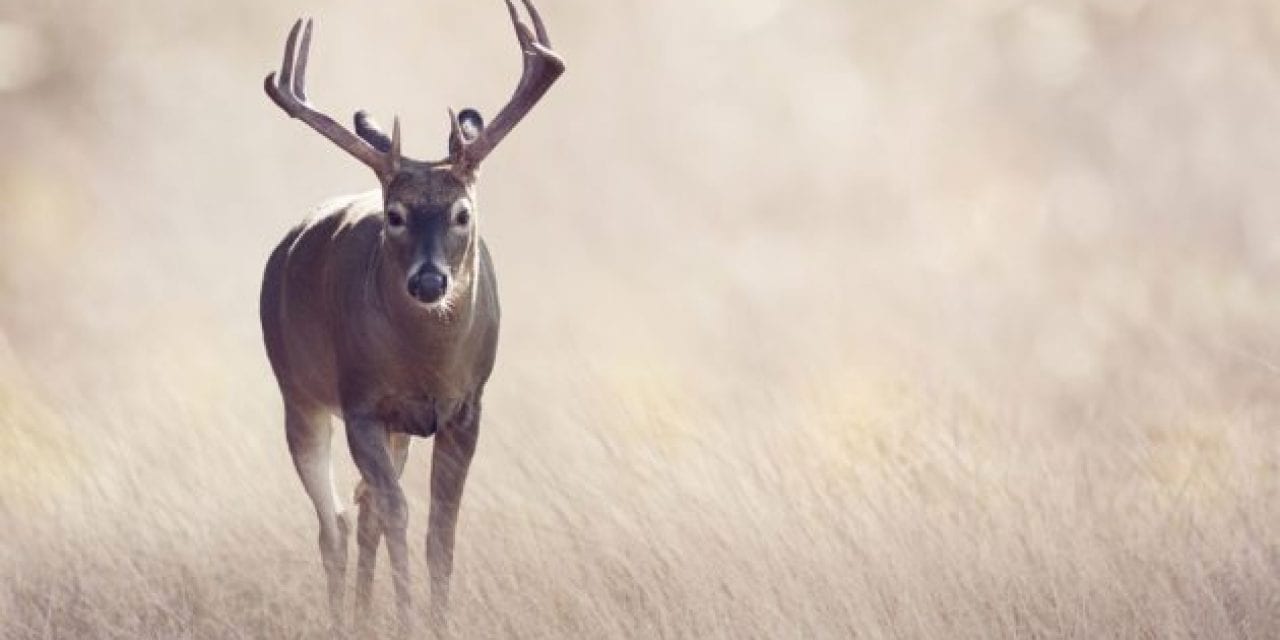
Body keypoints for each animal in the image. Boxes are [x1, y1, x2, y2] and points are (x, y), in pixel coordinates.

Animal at [257, 0, 563, 629]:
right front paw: (406, 618)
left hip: (394, 426)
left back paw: (363, 615)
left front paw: (435, 622)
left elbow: (439, 529)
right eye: (395, 214)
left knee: (362, 509)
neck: (427, 363)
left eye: (462, 213)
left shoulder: (467, 407)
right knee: (335, 524)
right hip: (298, 392)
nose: (428, 281)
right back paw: (343, 622)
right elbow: (398, 513)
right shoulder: (361, 404)